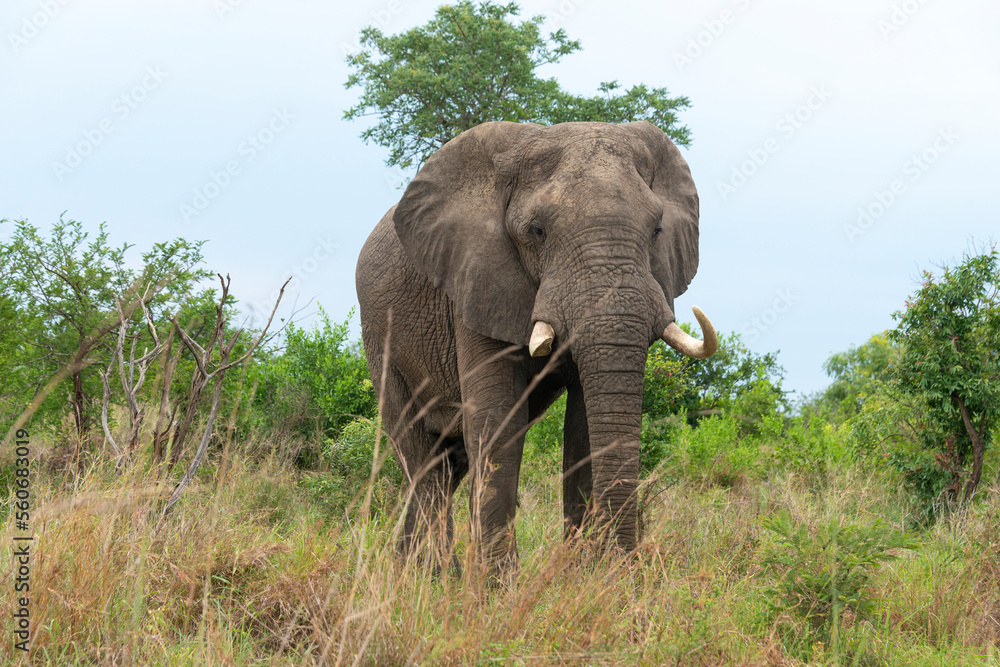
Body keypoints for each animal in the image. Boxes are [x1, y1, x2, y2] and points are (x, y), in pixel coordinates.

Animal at [356, 120, 716, 580]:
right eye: (537, 231)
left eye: (656, 230)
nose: (627, 570)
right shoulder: (476, 279)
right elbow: (497, 423)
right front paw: (497, 588)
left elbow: (582, 432)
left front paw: (584, 579)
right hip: (379, 336)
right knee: (422, 459)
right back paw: (433, 577)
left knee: (450, 462)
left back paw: (411, 571)